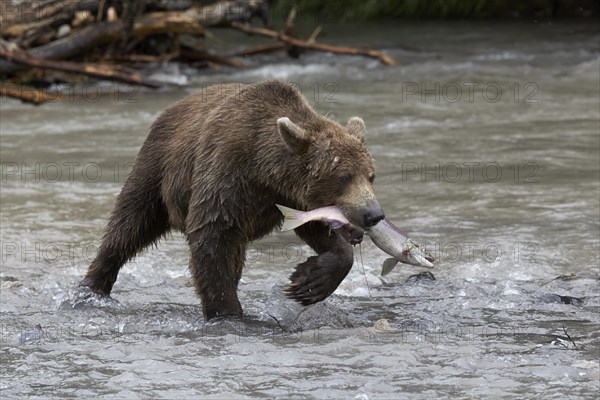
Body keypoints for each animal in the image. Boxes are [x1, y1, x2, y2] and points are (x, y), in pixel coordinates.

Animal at [79, 79, 384, 320]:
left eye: (371, 175)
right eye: (344, 176)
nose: (374, 214)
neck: (265, 171)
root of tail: (173, 107)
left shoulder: (292, 198)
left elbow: (316, 228)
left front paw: (309, 281)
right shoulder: (228, 172)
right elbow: (213, 237)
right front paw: (228, 313)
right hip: (158, 167)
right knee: (129, 223)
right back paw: (91, 287)